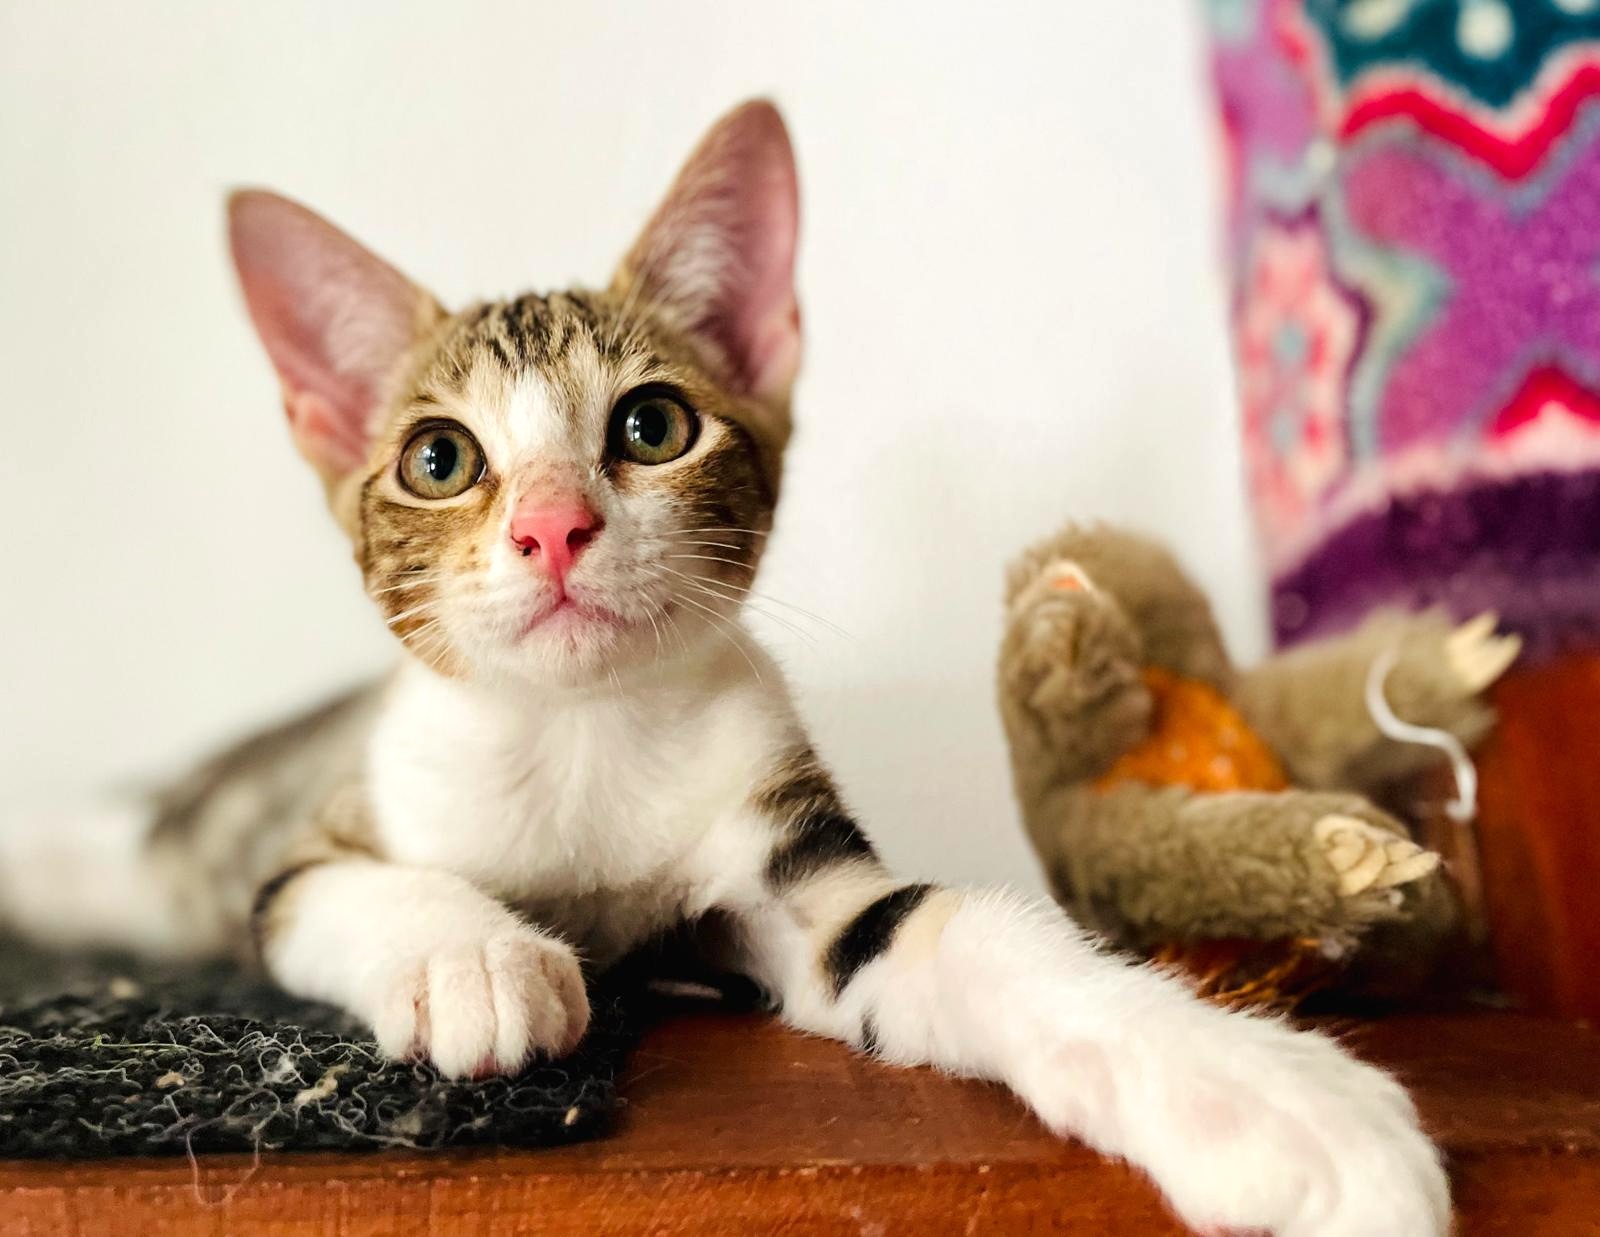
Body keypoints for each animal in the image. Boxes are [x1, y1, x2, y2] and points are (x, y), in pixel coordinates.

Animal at [0, 106, 1452, 1235]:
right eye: (438, 459)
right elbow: (341, 887)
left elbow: (944, 930)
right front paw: (475, 957)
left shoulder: (790, 880)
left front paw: (1268, 1098)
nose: (552, 525)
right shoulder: (317, 840)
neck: (579, 736)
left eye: (651, 426)